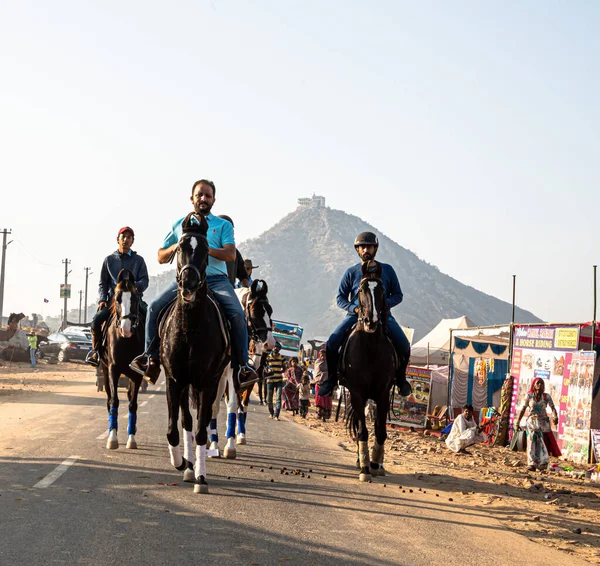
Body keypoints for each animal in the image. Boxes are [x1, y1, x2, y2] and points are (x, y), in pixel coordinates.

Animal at [342, 262, 398, 484]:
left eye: (381, 289)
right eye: (360, 290)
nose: (371, 322)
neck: (370, 348)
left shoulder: (383, 394)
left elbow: (380, 432)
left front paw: (375, 464)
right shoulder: (357, 394)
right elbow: (363, 432)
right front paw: (365, 468)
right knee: (359, 428)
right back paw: (361, 461)